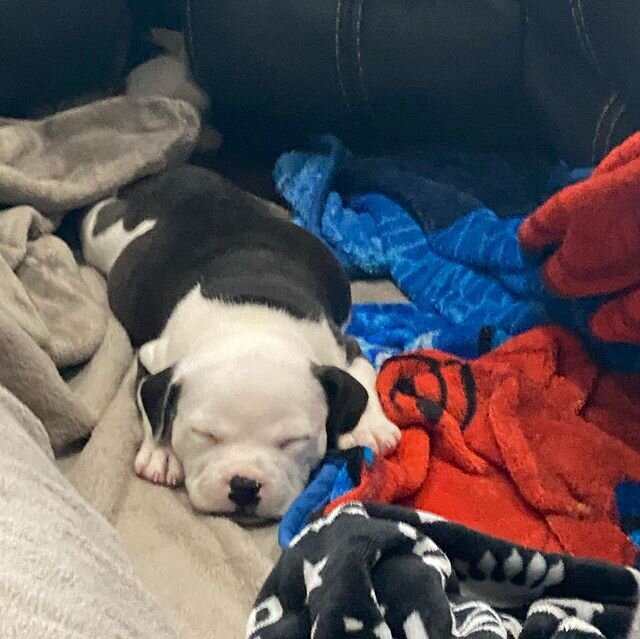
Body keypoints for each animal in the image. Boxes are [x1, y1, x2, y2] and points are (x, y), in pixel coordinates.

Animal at [80, 168, 400, 524]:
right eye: (205, 435)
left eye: (291, 441)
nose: (245, 485)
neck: (253, 326)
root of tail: (189, 181)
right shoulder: (156, 358)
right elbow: (153, 406)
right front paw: (161, 452)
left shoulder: (342, 348)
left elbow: (363, 375)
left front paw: (370, 425)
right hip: (105, 237)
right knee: (99, 216)